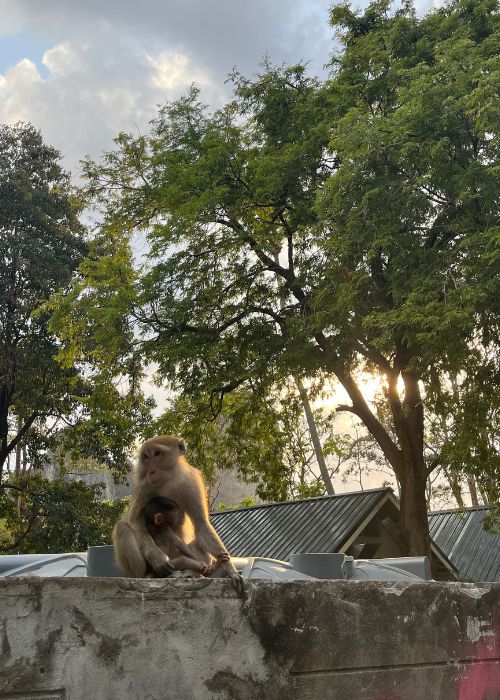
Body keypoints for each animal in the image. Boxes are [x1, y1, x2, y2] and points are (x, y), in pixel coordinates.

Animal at [113, 435, 243, 591]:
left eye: (157, 454)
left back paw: (191, 572)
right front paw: (157, 558)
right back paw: (148, 576)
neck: (169, 478)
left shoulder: (192, 482)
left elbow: (201, 525)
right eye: (145, 457)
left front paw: (230, 569)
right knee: (122, 527)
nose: (151, 471)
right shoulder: (145, 484)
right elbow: (134, 520)